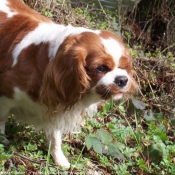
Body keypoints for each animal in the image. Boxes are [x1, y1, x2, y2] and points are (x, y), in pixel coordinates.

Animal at [0, 0, 137, 167]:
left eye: (124, 66)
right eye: (100, 68)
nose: (122, 79)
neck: (49, 62)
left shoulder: (56, 106)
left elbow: (55, 136)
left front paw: (59, 159)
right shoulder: (5, 94)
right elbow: (2, 119)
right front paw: (1, 140)